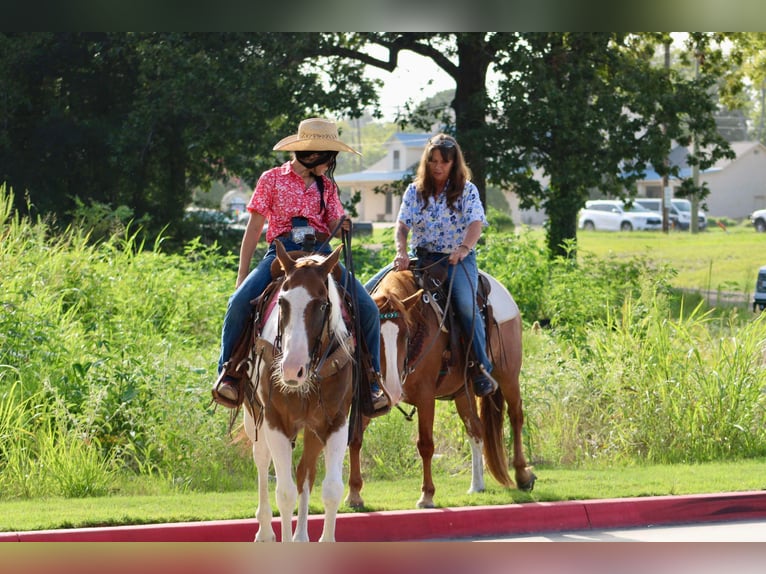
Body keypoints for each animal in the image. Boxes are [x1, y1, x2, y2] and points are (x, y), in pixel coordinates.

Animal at [242, 243, 356, 544]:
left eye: (322, 304)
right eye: (282, 302)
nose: (292, 369)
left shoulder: (337, 422)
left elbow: (331, 489)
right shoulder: (275, 422)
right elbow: (284, 493)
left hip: (313, 428)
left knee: (306, 471)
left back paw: (301, 536)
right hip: (253, 416)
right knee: (261, 460)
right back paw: (264, 531)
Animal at [348, 268, 536, 510]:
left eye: (406, 335)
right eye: (369, 333)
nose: (392, 390)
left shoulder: (426, 397)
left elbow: (426, 445)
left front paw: (427, 495)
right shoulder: (366, 398)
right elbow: (355, 439)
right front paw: (354, 494)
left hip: (509, 375)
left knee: (516, 417)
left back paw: (523, 475)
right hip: (463, 392)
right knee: (476, 430)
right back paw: (477, 485)